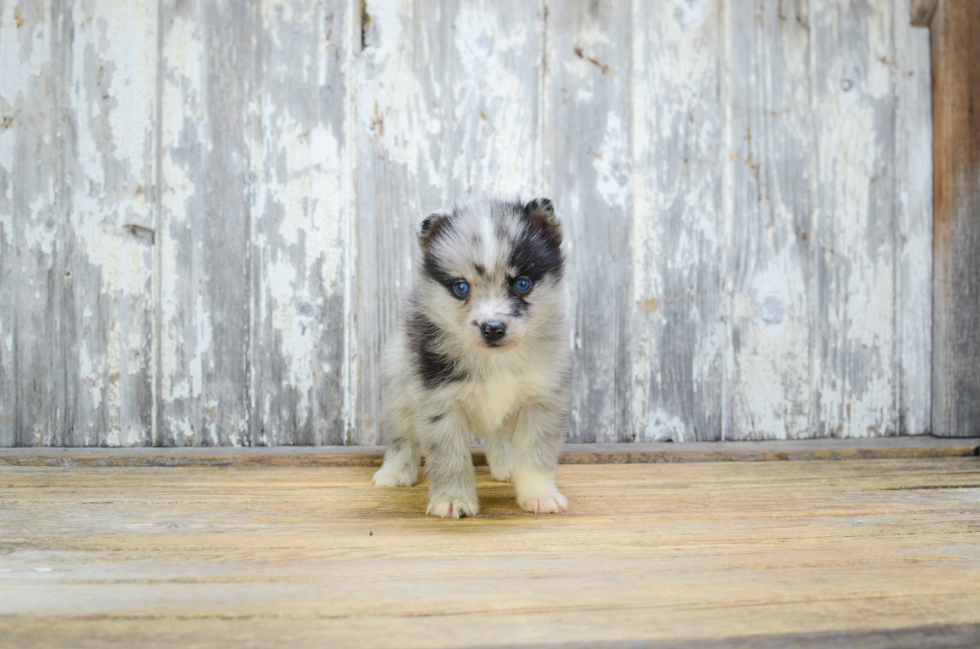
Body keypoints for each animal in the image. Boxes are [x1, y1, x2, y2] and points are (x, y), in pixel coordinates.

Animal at [376, 195, 576, 520]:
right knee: (401, 438)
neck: (495, 360)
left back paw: (507, 465)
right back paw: (395, 472)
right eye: (461, 288)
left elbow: (536, 454)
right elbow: (450, 459)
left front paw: (540, 494)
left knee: (499, 436)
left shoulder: (541, 400)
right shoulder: (439, 404)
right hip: (398, 388)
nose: (492, 328)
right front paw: (452, 500)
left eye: (522, 284)